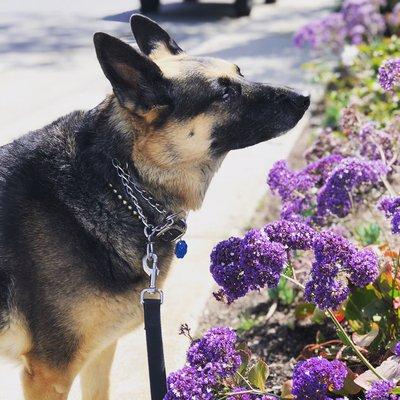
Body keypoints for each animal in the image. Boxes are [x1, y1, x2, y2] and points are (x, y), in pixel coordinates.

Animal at [0, 14, 310, 398]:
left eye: (240, 73)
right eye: (224, 93)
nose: (306, 97)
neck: (119, 181)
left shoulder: (100, 352)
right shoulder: (49, 374)